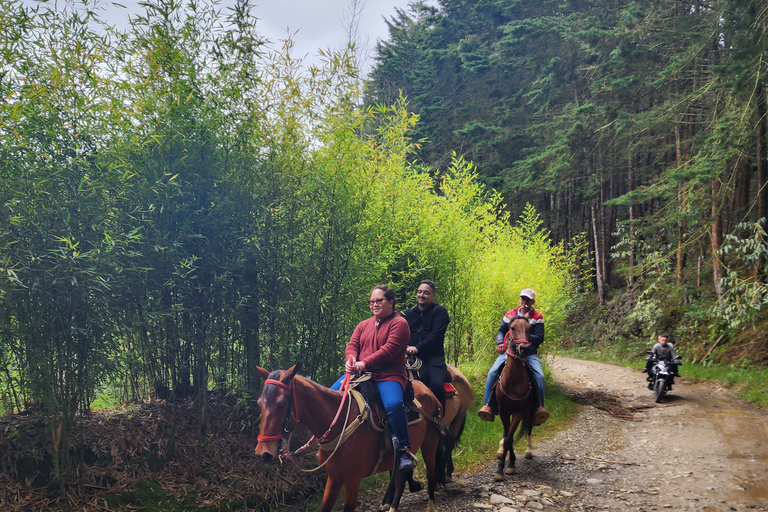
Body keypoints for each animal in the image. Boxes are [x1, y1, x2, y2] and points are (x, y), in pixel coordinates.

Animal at [255, 364, 440, 512]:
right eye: (259, 403)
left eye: (281, 404)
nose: (263, 452)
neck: (338, 425)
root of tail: (426, 389)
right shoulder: (334, 478)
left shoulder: (352, 481)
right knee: (400, 481)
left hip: (430, 444)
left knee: (431, 473)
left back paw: (431, 506)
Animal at [492, 316, 536, 480]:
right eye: (512, 328)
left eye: (530, 328)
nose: (524, 349)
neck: (513, 381)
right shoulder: (504, 411)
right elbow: (507, 437)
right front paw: (502, 466)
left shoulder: (518, 412)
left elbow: (510, 437)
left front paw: (507, 466)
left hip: (529, 411)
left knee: (529, 426)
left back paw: (529, 451)